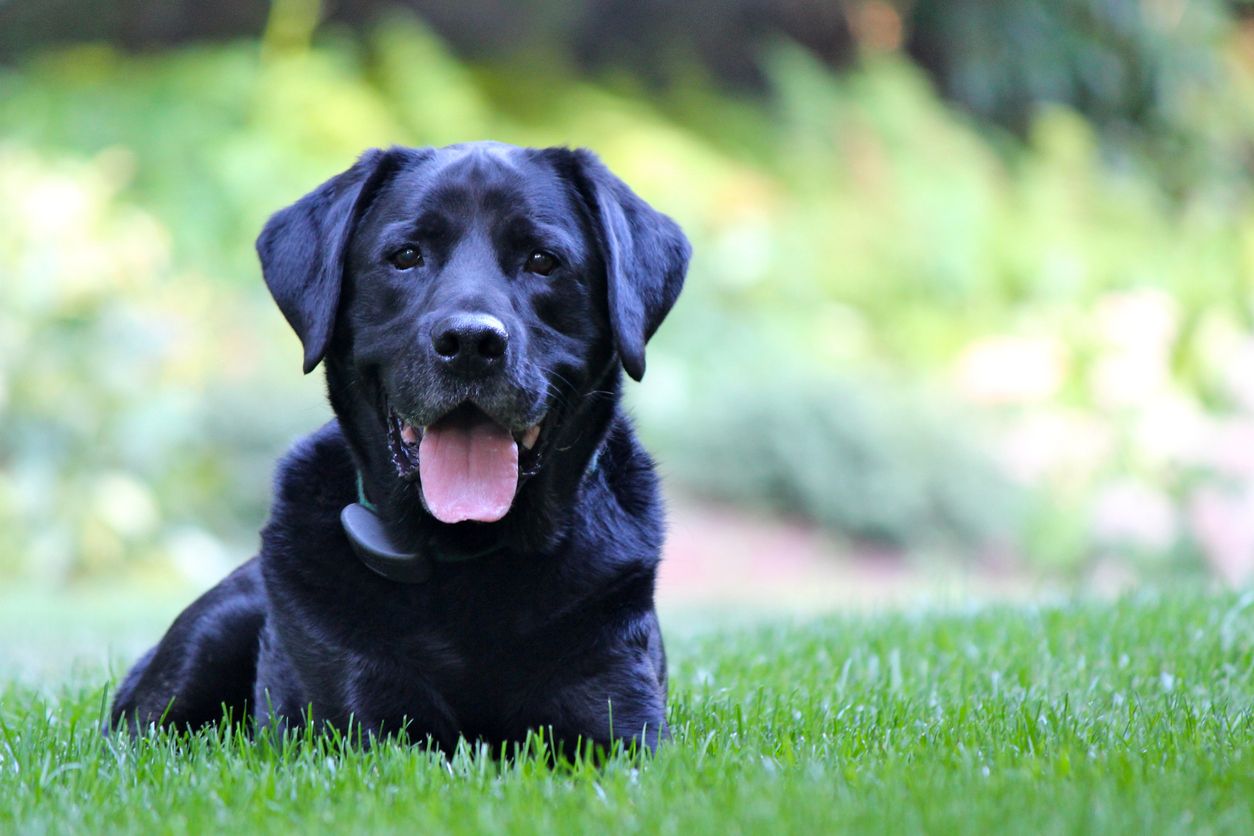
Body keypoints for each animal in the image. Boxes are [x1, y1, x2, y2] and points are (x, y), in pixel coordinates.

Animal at [109, 142, 692, 752]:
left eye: (543, 260)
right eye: (406, 256)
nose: (470, 343)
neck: (470, 560)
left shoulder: (620, 722)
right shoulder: (367, 727)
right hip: (208, 636)